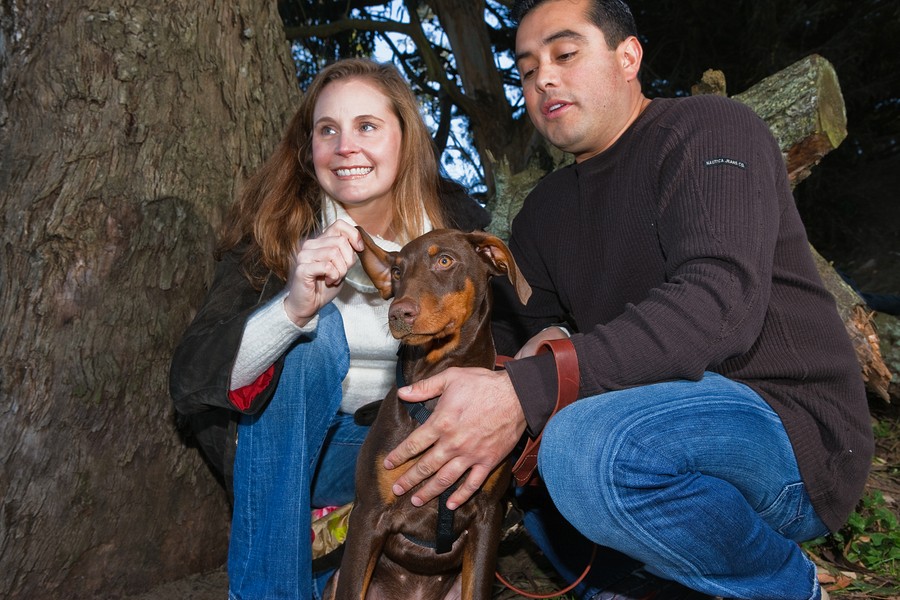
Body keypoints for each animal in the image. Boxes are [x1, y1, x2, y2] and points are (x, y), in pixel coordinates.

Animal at [326, 227, 532, 600]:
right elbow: (352, 586)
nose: (398, 313)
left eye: (445, 261)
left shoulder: (487, 517)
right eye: (396, 272)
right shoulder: (368, 516)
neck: (439, 389)